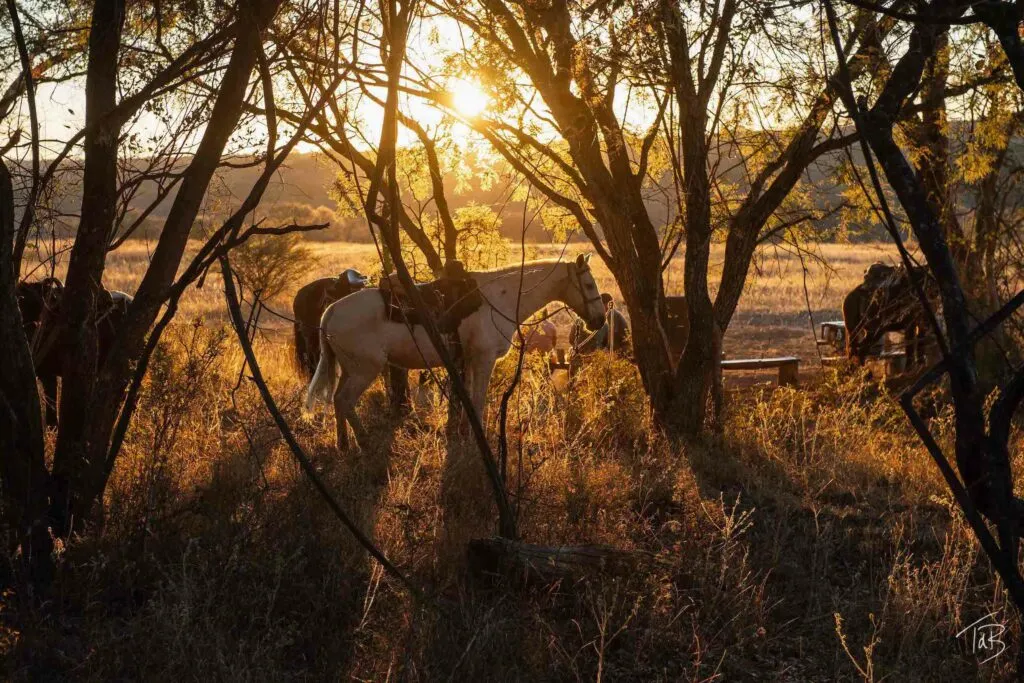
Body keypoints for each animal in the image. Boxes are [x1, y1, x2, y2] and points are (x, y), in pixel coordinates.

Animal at [306, 255, 607, 450]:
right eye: (588, 285)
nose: (599, 320)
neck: (498, 298)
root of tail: (330, 311)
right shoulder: (484, 359)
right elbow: (479, 399)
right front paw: (478, 438)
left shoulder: (470, 360)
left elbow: (470, 400)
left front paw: (464, 433)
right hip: (365, 369)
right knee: (344, 400)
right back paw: (363, 442)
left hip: (349, 369)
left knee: (337, 400)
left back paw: (343, 444)